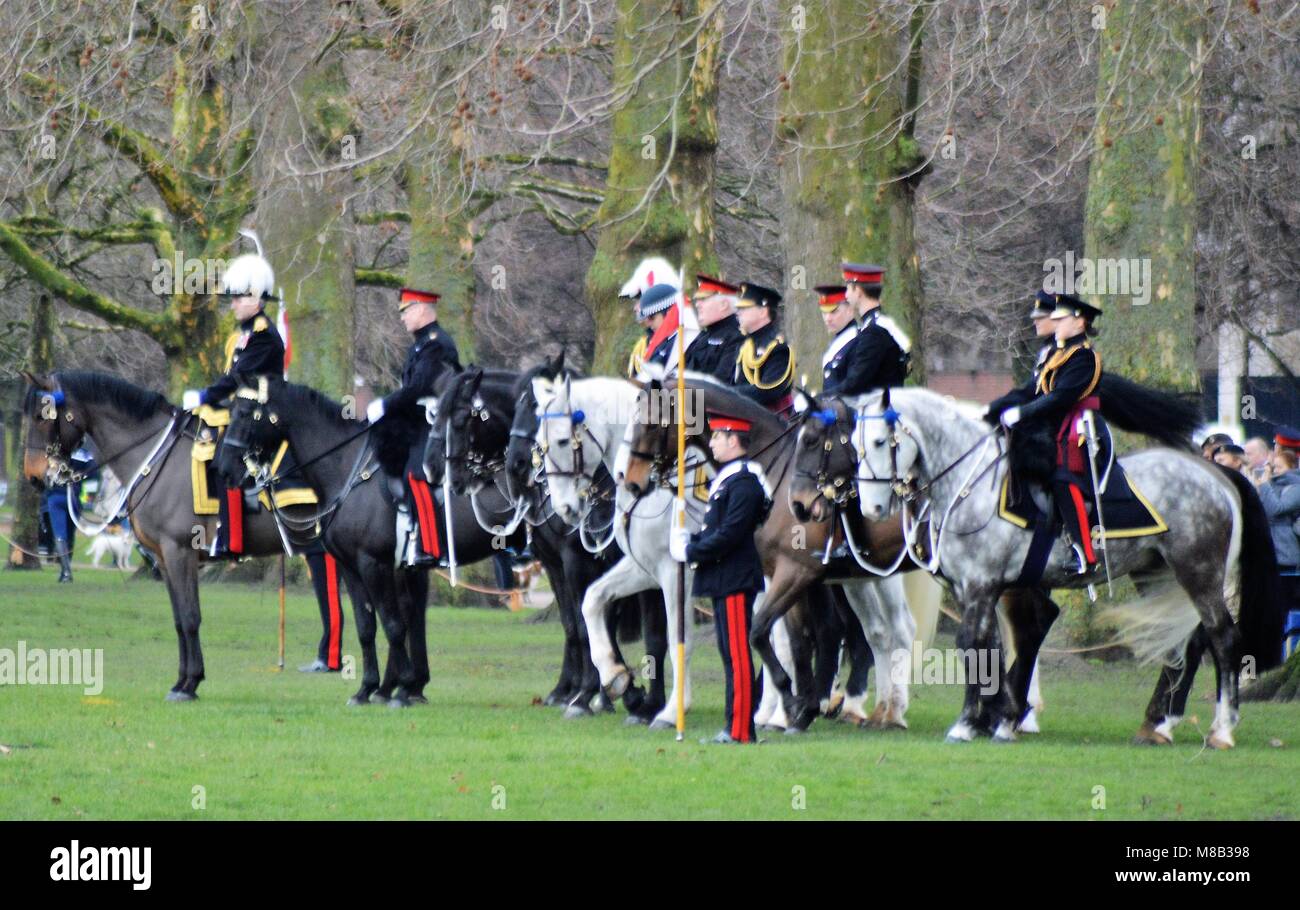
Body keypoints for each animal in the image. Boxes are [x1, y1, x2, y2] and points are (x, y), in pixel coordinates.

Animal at [428, 366, 670, 722]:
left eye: (459, 418)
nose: (435, 470)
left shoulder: (580, 560)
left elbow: (594, 625)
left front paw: (592, 694)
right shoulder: (556, 562)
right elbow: (575, 624)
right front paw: (583, 690)